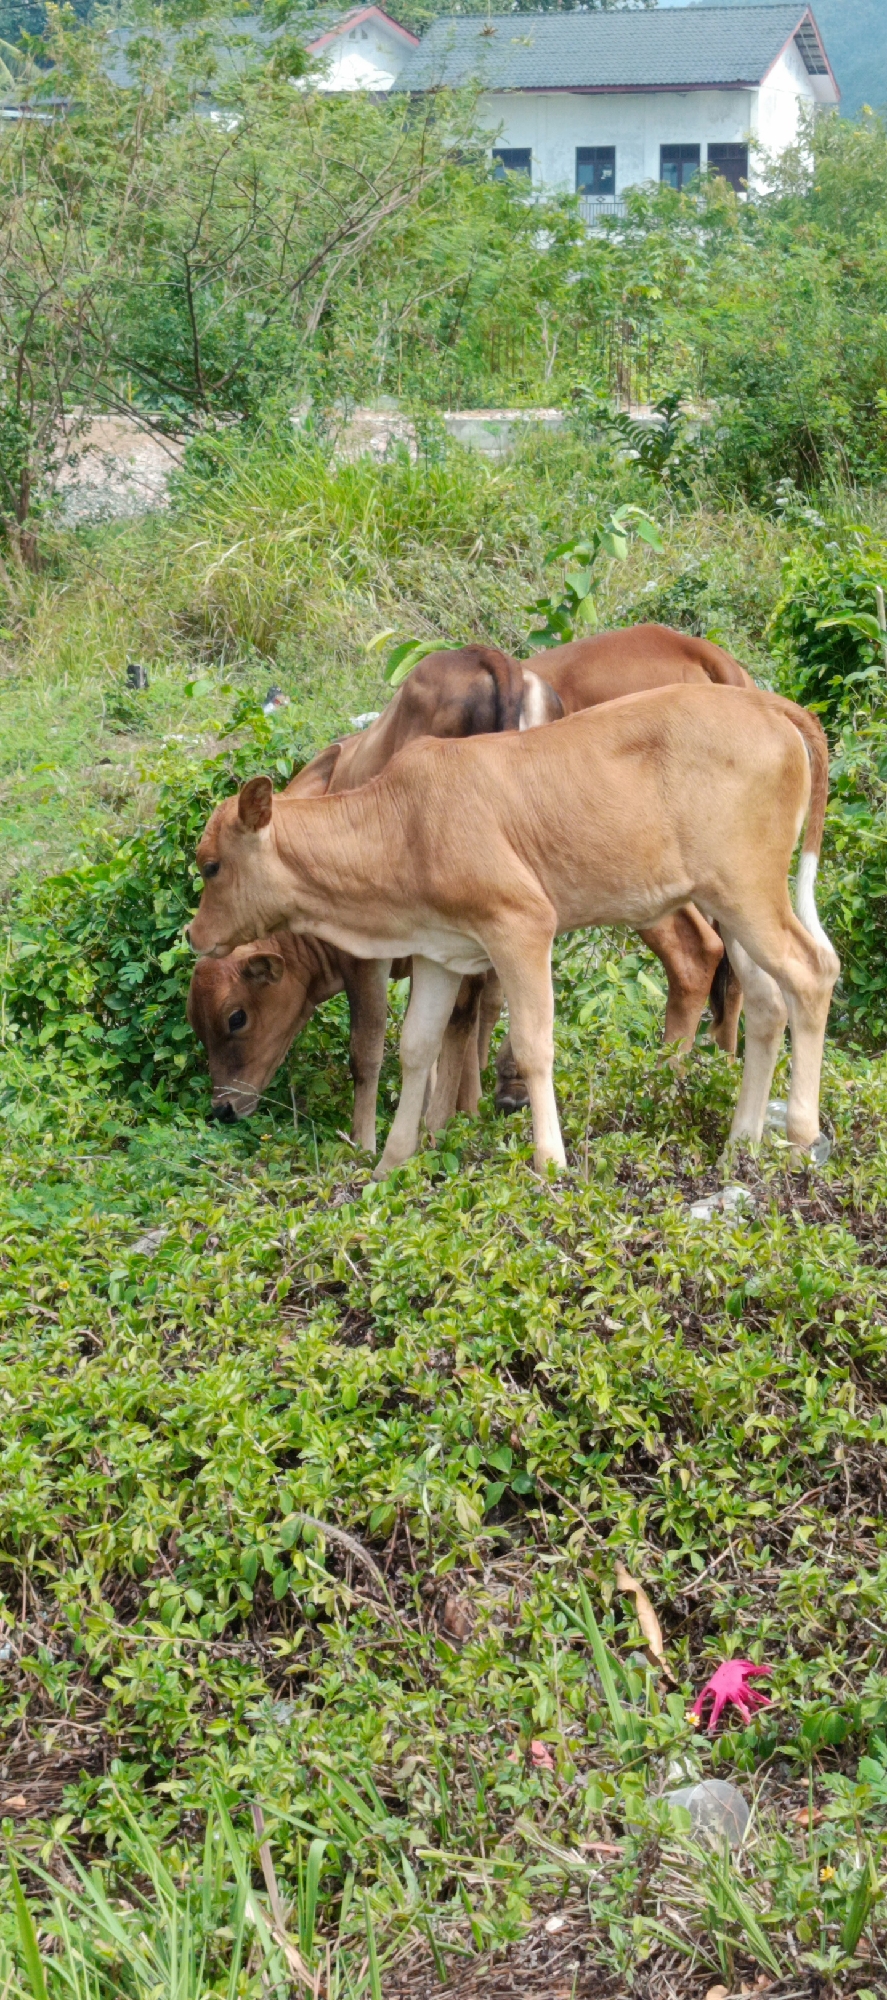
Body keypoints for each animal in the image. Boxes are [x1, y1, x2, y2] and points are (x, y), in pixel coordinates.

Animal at [186, 684, 838, 1180]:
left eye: (211, 865)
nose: (194, 935)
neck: (402, 823)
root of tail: (765, 702)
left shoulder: (521, 926)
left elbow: (531, 1043)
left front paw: (550, 1161)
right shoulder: (440, 951)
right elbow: (416, 1047)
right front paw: (392, 1163)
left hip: (749, 891)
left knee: (812, 973)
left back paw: (799, 1136)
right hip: (728, 903)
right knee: (765, 1003)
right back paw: (739, 1144)